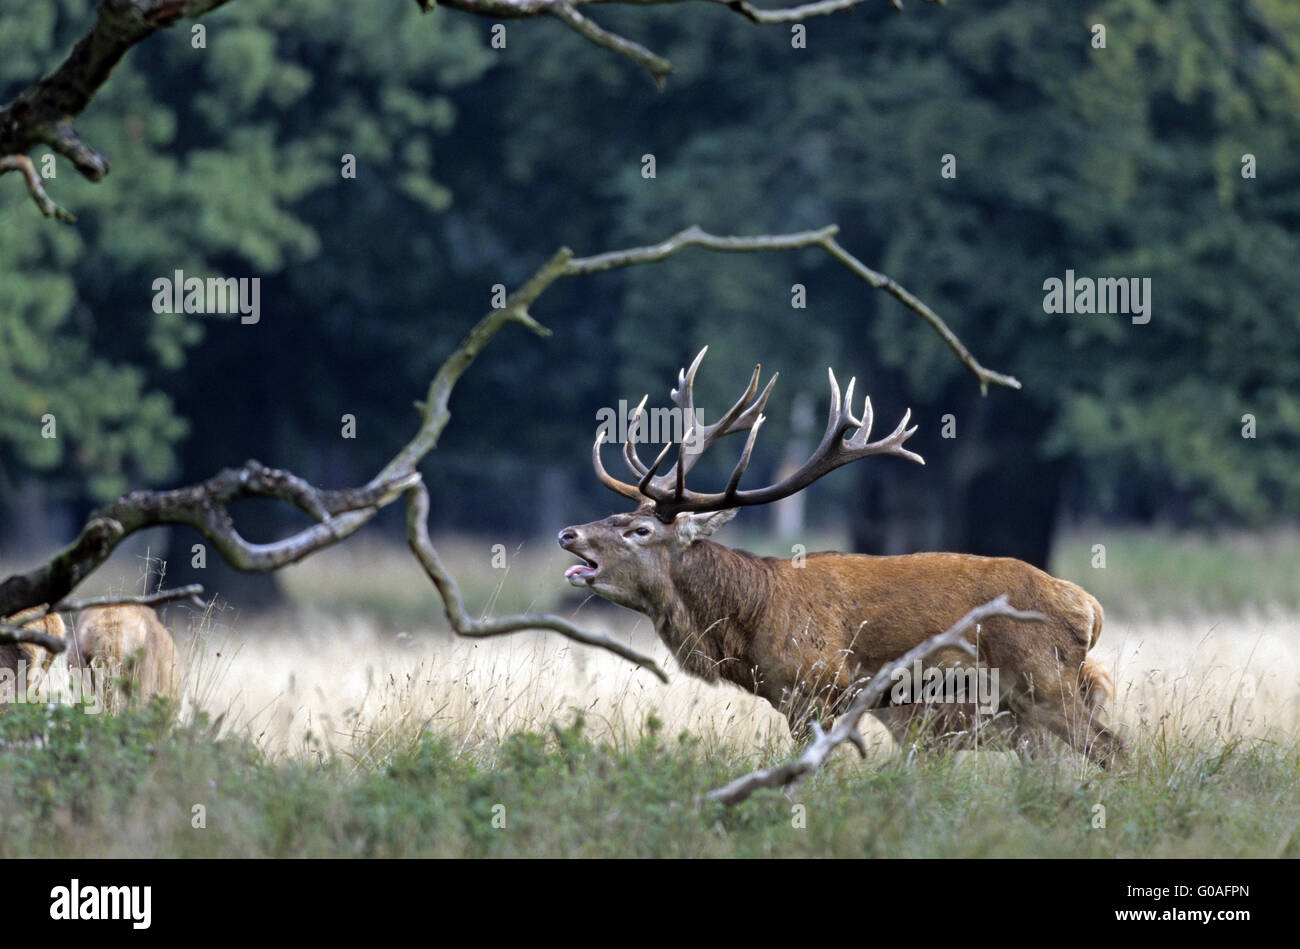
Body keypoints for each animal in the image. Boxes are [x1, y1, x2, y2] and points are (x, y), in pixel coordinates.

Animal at [559, 348, 1118, 759]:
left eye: (640, 529)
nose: (568, 533)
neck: (751, 622)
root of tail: (1089, 608)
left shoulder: (818, 686)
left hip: (1044, 678)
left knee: (1112, 750)